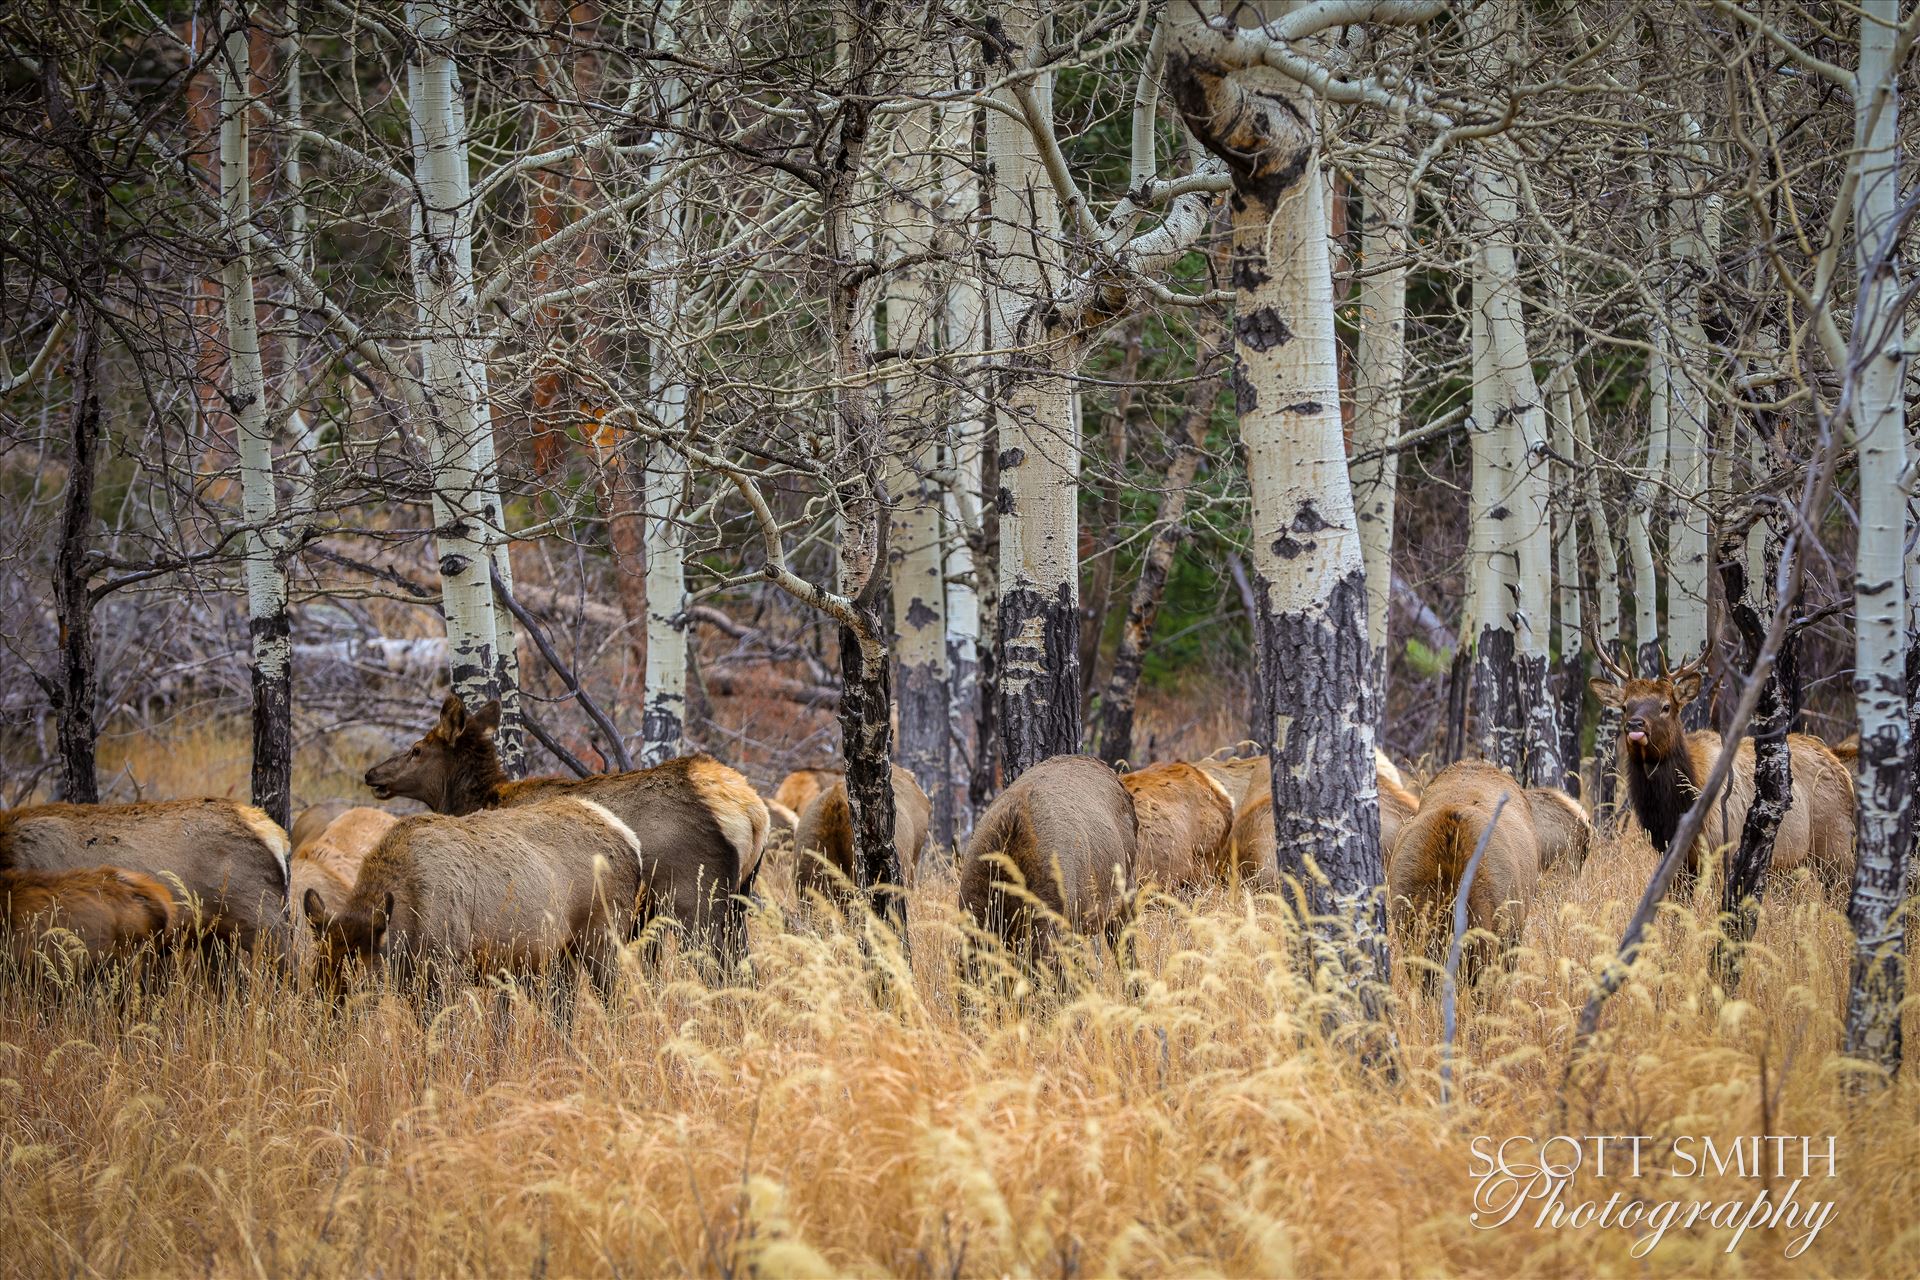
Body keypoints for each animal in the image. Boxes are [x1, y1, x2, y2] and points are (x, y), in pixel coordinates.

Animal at [305, 794, 645, 1005]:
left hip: (603, 938)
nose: (329, 1031)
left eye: (360, 981)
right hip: (559, 957)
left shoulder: (446, 966)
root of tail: (631, 840)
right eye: (317, 976)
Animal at [1582, 644, 1850, 886]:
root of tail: (1839, 765)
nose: (1635, 725)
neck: (1671, 811)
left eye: (1666, 706)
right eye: (1625, 706)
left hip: (1836, 848)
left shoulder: (1720, 851)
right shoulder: (1674, 858)